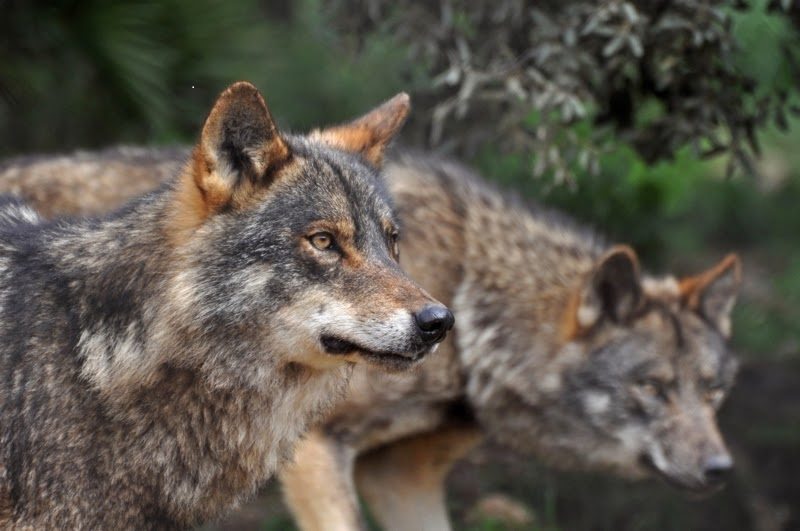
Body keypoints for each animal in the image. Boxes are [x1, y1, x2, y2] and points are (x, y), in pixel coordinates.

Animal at [0, 150, 740, 531]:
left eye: (713, 391)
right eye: (650, 388)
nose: (719, 470)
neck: (468, 283)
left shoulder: (401, 475)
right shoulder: (317, 452)